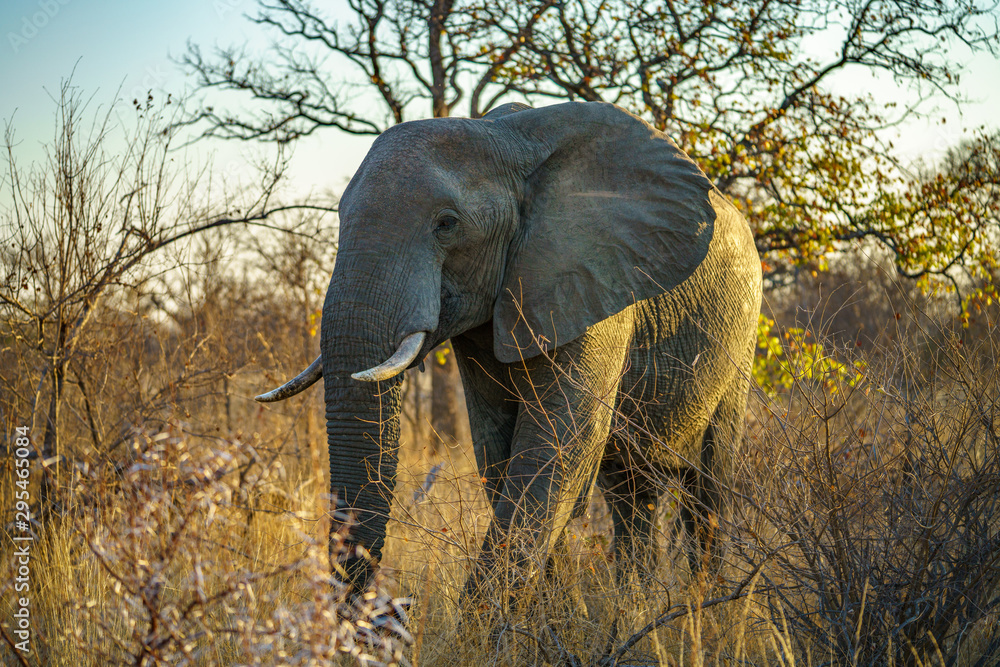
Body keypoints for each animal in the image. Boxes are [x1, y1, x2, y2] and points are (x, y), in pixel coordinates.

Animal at [256, 101, 762, 606]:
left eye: (446, 224)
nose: (389, 608)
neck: (504, 138)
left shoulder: (588, 280)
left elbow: (557, 446)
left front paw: (481, 626)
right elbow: (497, 446)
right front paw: (551, 614)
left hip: (741, 335)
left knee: (708, 489)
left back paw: (706, 608)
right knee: (631, 491)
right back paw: (632, 607)